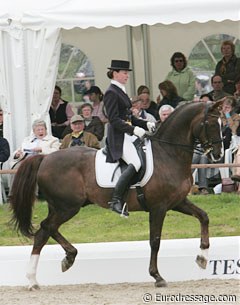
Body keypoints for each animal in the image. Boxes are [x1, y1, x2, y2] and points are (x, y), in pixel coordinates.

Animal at [9, 101, 223, 288]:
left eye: (222, 124)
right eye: (211, 124)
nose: (218, 154)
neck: (168, 153)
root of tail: (44, 158)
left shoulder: (178, 202)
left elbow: (204, 217)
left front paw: (203, 258)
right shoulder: (159, 207)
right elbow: (155, 241)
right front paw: (157, 276)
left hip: (61, 206)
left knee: (44, 232)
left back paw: (45, 273)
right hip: (67, 206)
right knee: (47, 228)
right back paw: (47, 270)